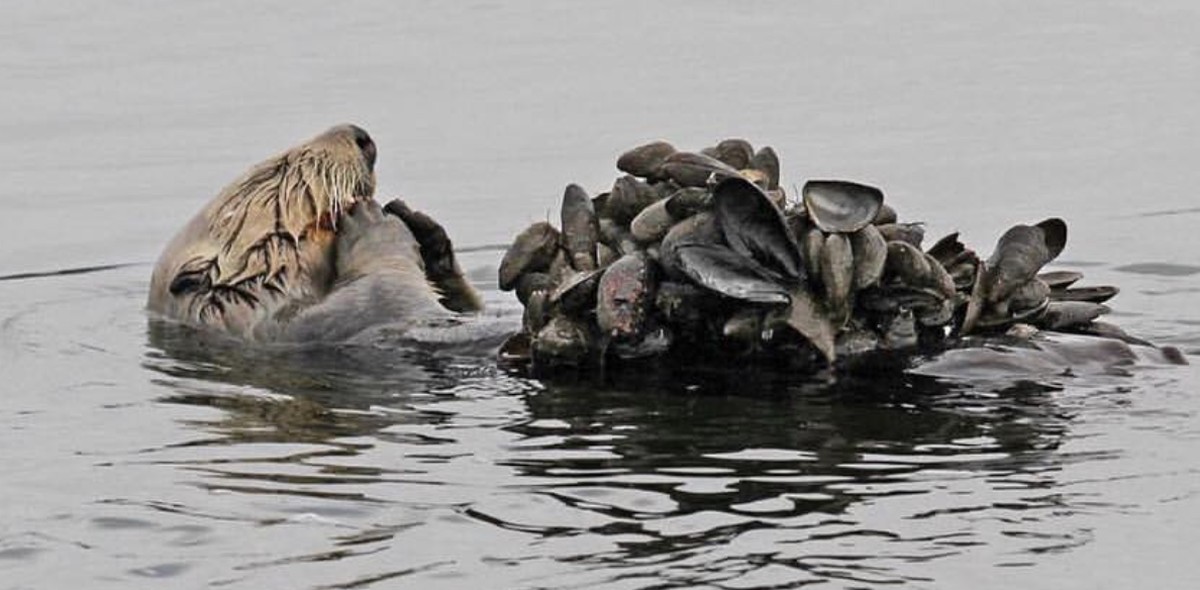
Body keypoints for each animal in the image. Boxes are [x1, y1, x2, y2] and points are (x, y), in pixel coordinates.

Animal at [148, 124, 483, 342]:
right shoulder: (316, 324)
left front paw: (424, 230)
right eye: (280, 168)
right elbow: (382, 291)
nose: (361, 136)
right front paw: (373, 221)